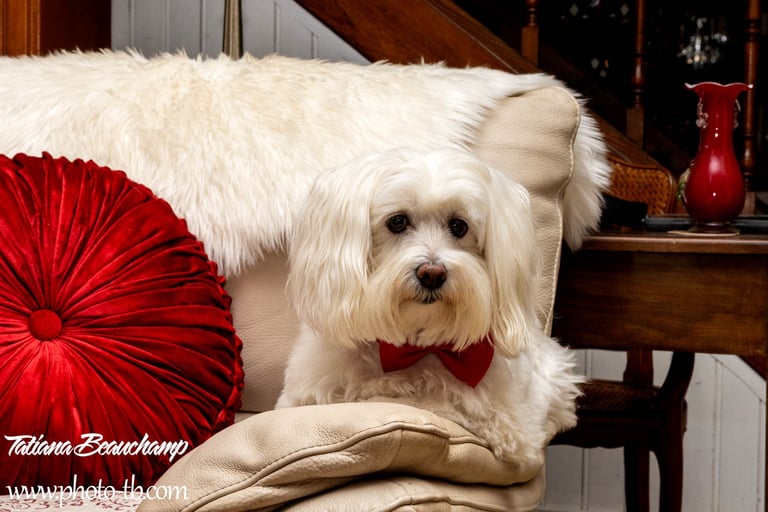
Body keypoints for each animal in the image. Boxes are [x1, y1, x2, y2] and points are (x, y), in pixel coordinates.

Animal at [276, 147, 582, 466]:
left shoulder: (514, 430)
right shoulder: (302, 396)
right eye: (397, 221)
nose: (432, 274)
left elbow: (436, 403)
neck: (415, 346)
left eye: (459, 226)